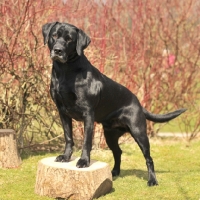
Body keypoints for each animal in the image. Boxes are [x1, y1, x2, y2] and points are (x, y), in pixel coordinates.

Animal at [41, 22, 186, 187]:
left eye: (69, 39)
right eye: (54, 35)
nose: (57, 50)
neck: (66, 71)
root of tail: (138, 103)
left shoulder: (88, 113)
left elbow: (86, 141)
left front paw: (84, 161)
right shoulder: (63, 112)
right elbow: (68, 137)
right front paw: (65, 157)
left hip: (139, 132)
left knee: (148, 158)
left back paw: (152, 180)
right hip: (110, 134)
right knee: (118, 152)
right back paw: (115, 172)